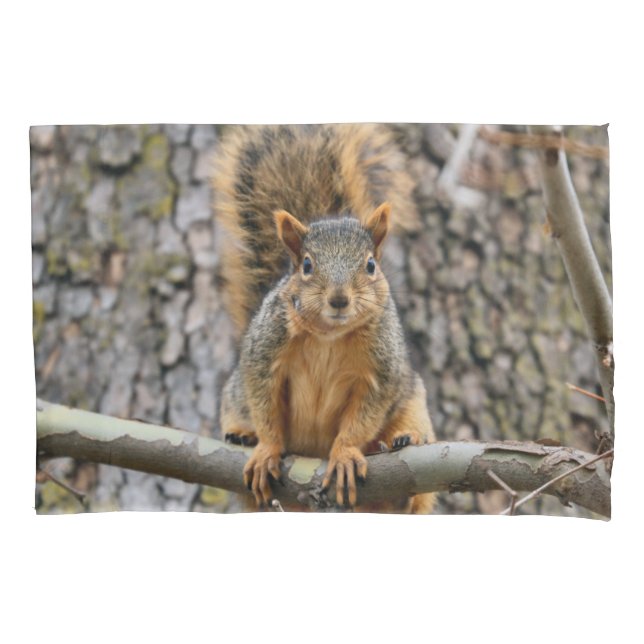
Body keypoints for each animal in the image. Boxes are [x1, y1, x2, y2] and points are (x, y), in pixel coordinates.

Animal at [212, 124, 435, 513]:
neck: (329, 334)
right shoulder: (264, 353)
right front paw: (266, 448)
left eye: (370, 265)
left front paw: (345, 453)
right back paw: (242, 436)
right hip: (234, 399)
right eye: (306, 265)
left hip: (413, 403)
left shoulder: (381, 371)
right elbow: (264, 403)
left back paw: (400, 447)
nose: (339, 299)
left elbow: (362, 418)